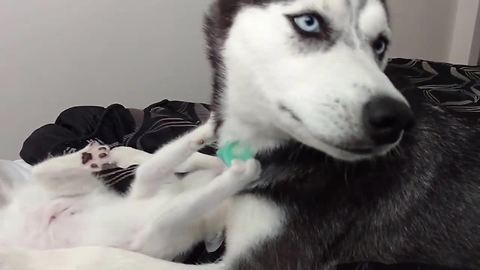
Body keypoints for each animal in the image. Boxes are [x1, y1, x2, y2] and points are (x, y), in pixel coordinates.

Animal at [0, 0, 480, 270]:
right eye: (308, 25)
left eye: (379, 45)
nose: (387, 119)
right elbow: (197, 159)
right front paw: (125, 154)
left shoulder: (255, 263)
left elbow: (110, 252)